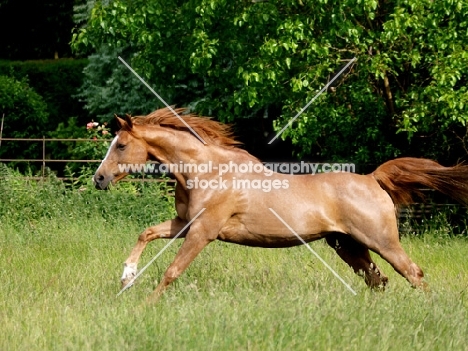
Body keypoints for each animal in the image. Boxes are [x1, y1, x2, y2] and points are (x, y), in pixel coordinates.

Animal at [93, 108, 468, 302]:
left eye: (121, 145)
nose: (99, 178)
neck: (206, 169)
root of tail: (372, 179)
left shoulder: (204, 230)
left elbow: (172, 270)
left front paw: (145, 304)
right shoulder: (184, 223)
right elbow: (146, 233)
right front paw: (126, 278)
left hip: (381, 241)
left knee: (412, 273)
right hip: (346, 245)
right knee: (378, 280)